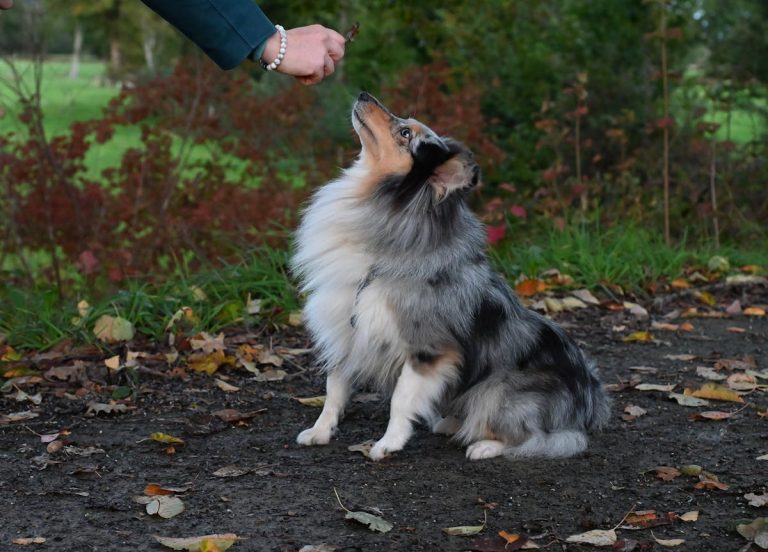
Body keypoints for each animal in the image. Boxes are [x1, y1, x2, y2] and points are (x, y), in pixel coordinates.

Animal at [292, 92, 608, 460]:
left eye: (405, 134)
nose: (364, 95)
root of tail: (591, 404)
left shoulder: (428, 348)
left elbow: (401, 399)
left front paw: (388, 443)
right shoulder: (346, 330)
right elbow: (334, 388)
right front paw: (320, 431)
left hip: (499, 389)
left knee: (543, 437)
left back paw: (484, 445)